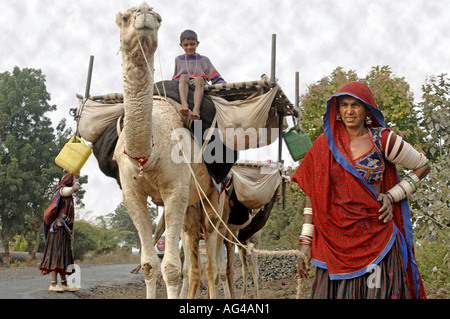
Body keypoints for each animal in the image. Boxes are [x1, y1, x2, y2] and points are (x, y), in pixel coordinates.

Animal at [114, 2, 223, 298]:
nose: (144, 14)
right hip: (192, 205)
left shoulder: (175, 189)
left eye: (159, 17)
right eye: (125, 16)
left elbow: (171, 269)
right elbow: (150, 264)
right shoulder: (132, 194)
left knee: (213, 264)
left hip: (215, 200)